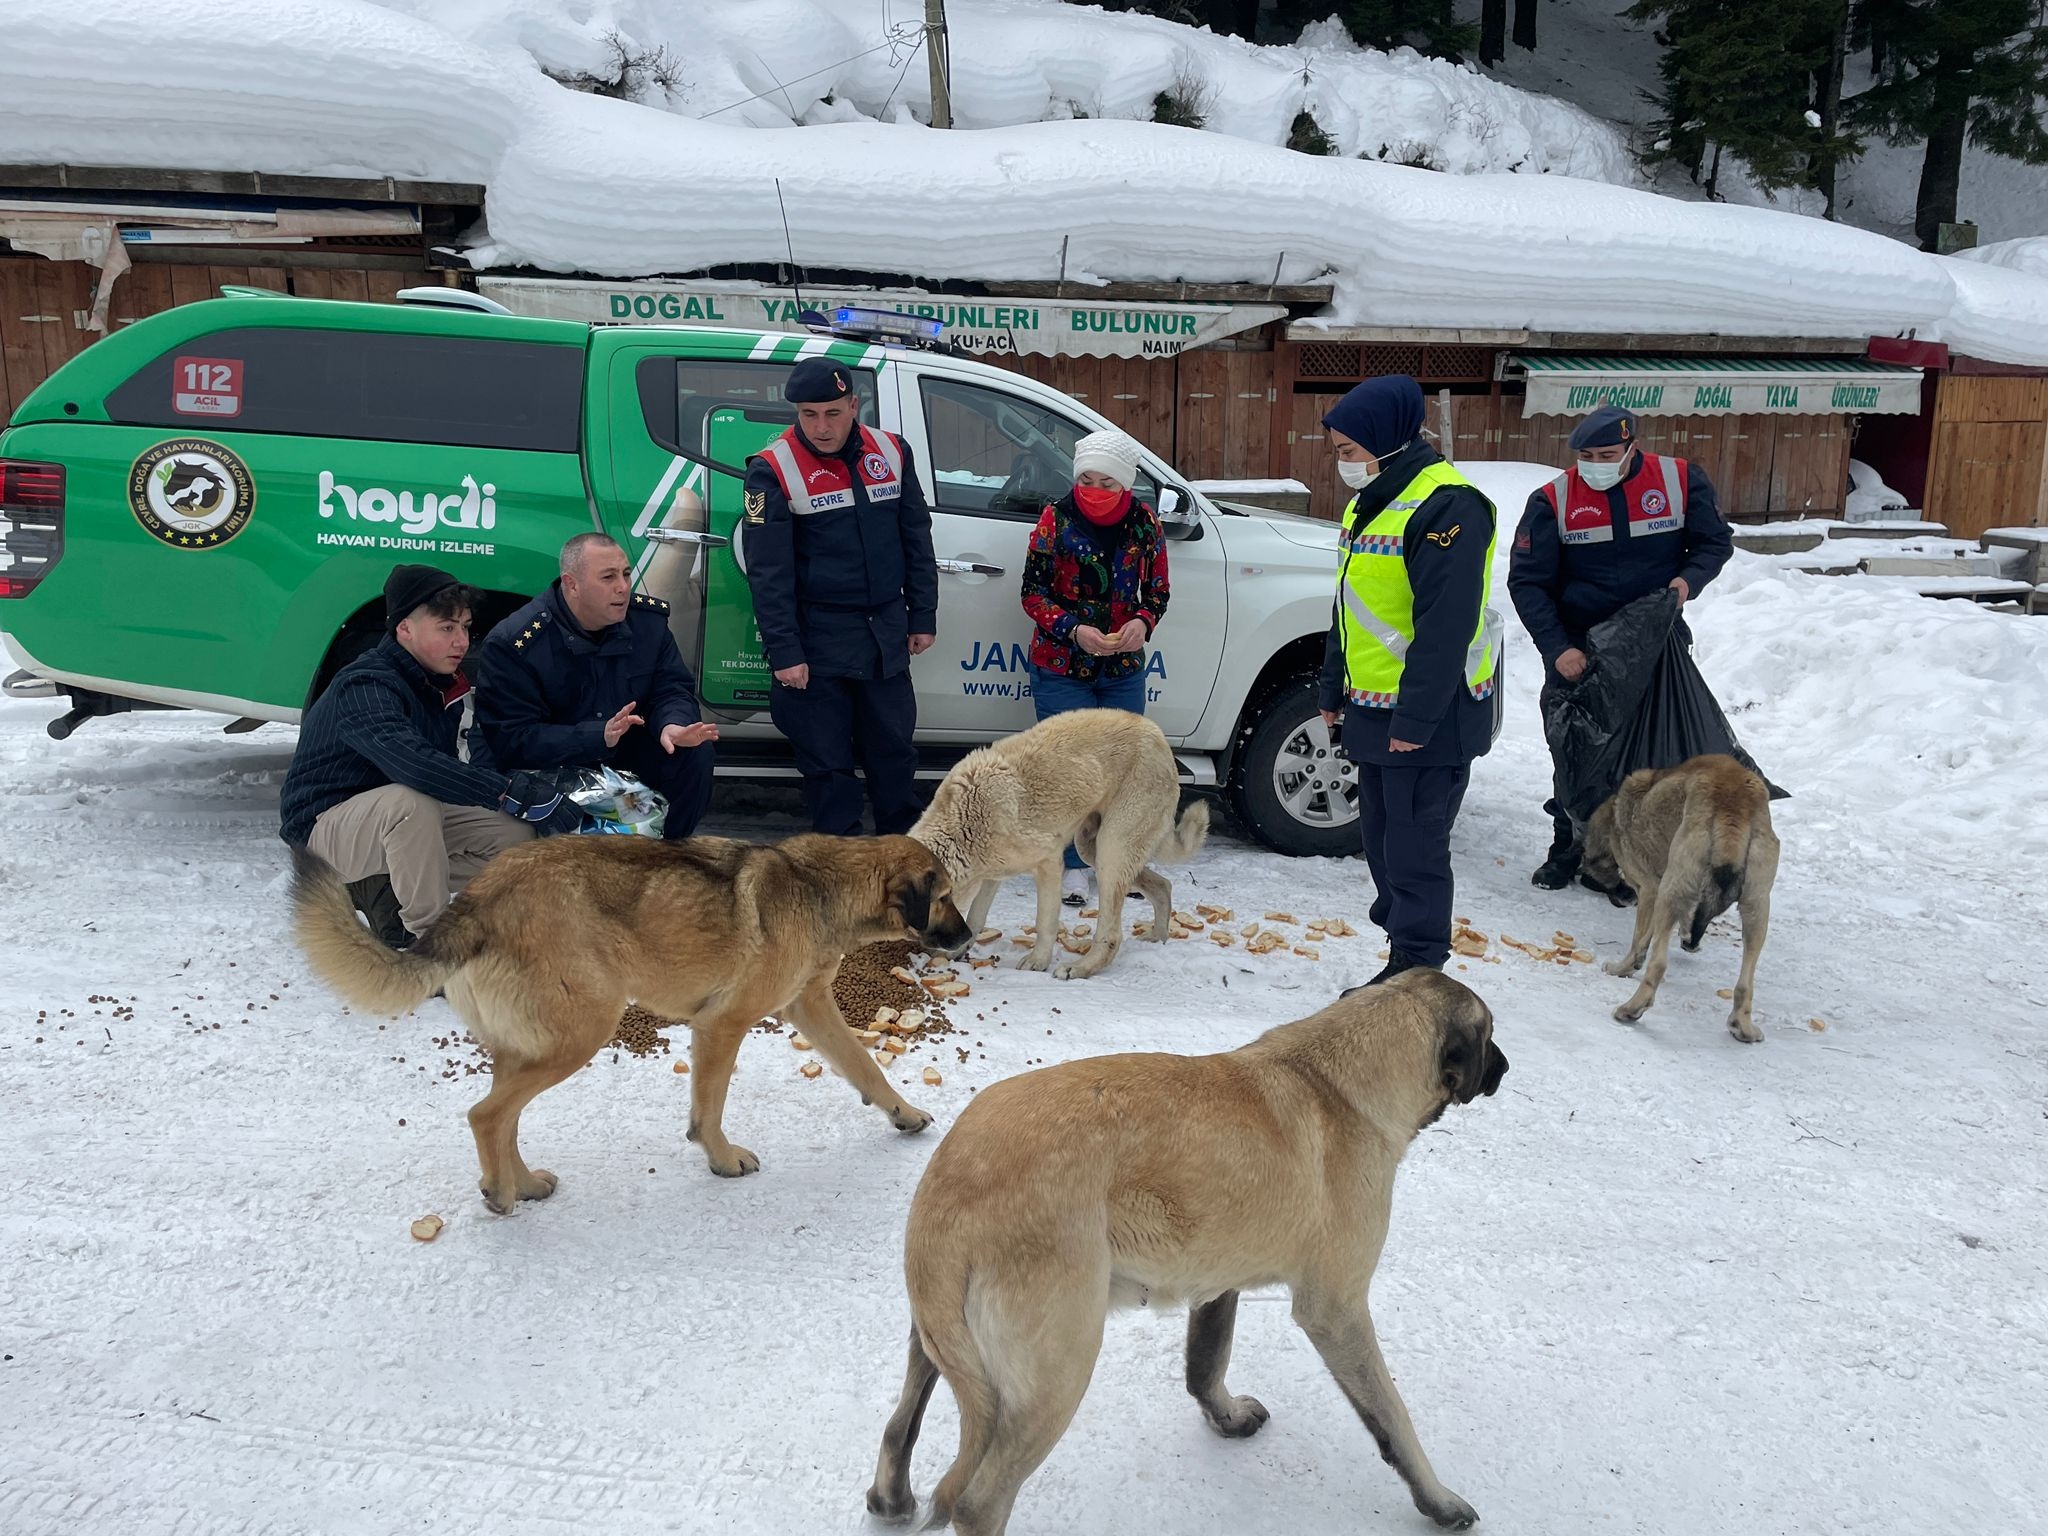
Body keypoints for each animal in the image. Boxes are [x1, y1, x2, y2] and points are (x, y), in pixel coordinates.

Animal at [288, 835, 974, 1212]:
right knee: (486, 1115)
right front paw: (721, 1159)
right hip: (581, 1032)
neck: (818, 886)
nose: (968, 938)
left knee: (505, 1117)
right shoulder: (724, 1025)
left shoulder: (810, 1008)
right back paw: (502, 1194)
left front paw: (904, 1114)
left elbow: (865, 1067)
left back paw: (522, 1182)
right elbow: (709, 1108)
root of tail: (475, 900)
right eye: (945, 897)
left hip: (533, 1043)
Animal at [860, 974, 1507, 1536]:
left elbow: (1205, 1364)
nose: (1504, 1067)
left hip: (946, 1346)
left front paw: (1226, 1417)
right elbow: (1394, 1418)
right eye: (1491, 1035)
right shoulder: (1337, 1311)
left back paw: (890, 1498)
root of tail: (952, 1181)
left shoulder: (1218, 1279)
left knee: (898, 1425)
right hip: (1057, 1373)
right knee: (979, 1503)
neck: (1333, 1082)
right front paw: (1439, 1501)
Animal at [1572, 753, 1785, 1048]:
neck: (1616, 815)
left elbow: (1639, 941)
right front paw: (1688, 939)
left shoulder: (1650, 890)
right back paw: (1742, 1026)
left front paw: (1623, 968)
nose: (1625, 897)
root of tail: (1733, 808)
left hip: (1669, 892)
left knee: (1658, 965)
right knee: (1745, 983)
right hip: (1757, 908)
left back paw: (1631, 1008)